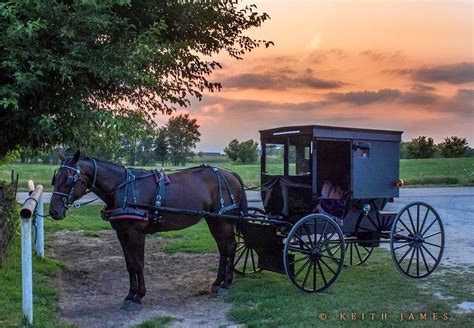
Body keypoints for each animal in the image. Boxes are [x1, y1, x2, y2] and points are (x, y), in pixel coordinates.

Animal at [49, 151, 246, 310]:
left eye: (69, 179)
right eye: (55, 179)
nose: (54, 211)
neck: (124, 189)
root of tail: (230, 174)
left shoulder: (137, 233)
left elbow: (138, 264)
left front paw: (138, 296)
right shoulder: (122, 233)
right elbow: (130, 265)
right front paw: (130, 295)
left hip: (223, 221)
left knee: (230, 247)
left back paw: (226, 284)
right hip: (214, 220)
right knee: (223, 248)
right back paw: (218, 282)